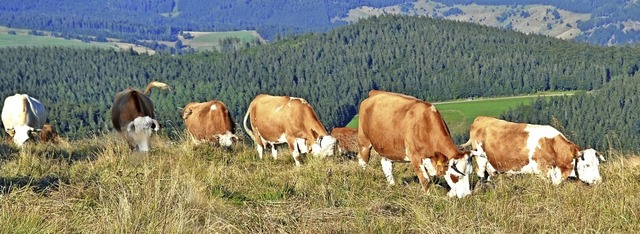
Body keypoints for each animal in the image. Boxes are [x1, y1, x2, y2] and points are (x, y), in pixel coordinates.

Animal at [460, 116, 604, 186]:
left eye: (597, 164)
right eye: (587, 165)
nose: (598, 181)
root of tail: (481, 118)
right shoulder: (543, 171)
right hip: (481, 157)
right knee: (480, 173)